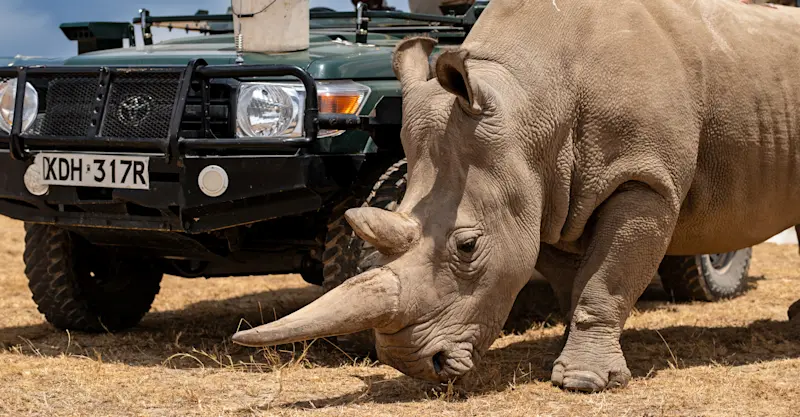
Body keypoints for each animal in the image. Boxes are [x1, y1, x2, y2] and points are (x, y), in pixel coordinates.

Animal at [233, 0, 800, 392]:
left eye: (467, 246)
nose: (419, 366)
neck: (529, 100)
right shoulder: (548, 196)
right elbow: (574, 281)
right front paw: (570, 355)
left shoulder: (643, 178)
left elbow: (605, 279)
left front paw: (583, 383)